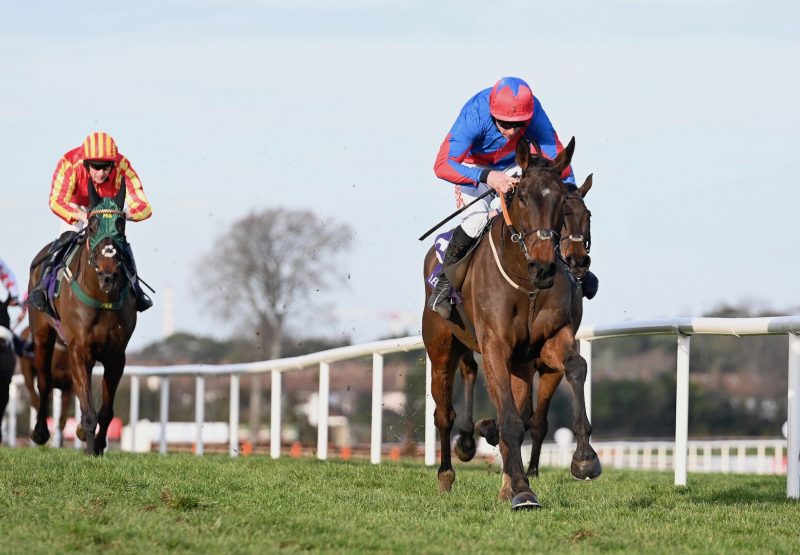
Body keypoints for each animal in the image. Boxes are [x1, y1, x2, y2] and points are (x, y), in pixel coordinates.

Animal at [27, 182, 136, 456]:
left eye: (121, 225)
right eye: (94, 225)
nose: (108, 275)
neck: (101, 294)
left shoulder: (116, 355)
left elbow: (105, 410)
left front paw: (97, 445)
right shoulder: (79, 348)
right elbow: (88, 411)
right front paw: (88, 449)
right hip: (42, 336)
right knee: (44, 383)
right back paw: (41, 432)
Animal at [422, 137, 596, 510]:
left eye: (566, 204)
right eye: (524, 198)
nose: (547, 267)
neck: (525, 283)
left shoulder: (548, 343)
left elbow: (575, 367)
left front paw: (584, 458)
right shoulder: (495, 347)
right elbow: (511, 420)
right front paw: (522, 491)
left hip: (518, 361)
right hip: (442, 349)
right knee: (444, 414)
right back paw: (447, 474)